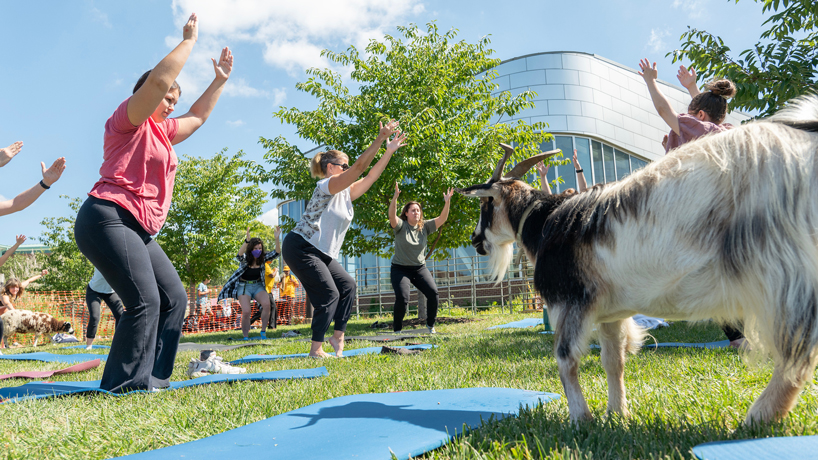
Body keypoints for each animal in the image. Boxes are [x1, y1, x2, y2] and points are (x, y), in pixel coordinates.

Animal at [460, 95, 818, 426]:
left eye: (485, 206)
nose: (475, 240)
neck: (548, 222)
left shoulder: (568, 299)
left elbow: (565, 358)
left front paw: (581, 418)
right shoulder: (610, 313)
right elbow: (612, 361)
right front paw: (618, 413)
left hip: (783, 270)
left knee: (798, 352)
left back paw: (758, 417)